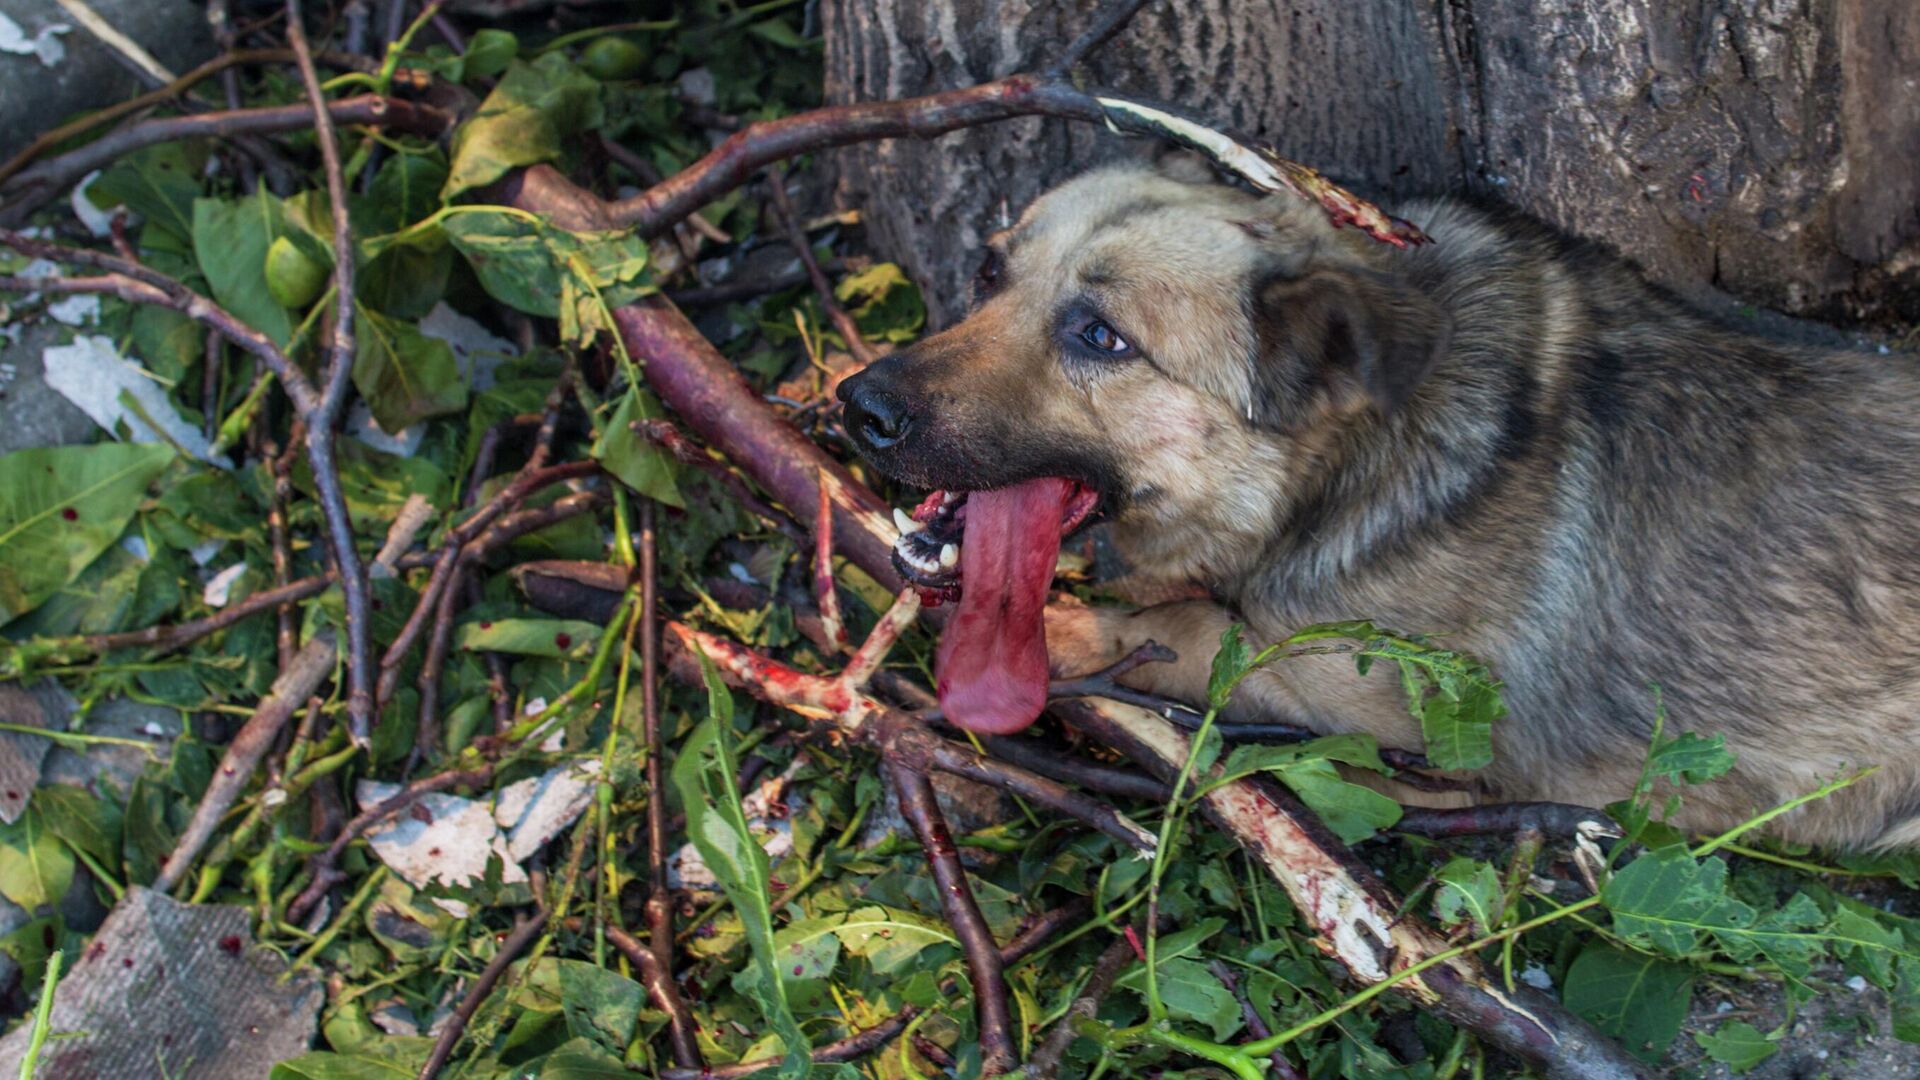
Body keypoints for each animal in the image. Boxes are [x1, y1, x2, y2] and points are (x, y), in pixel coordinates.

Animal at [837, 159, 1920, 849]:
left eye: (1101, 335)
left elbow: (1199, 635)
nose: (859, 406)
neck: (1340, 464)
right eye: (990, 270)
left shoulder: (1396, 717)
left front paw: (1073, 630)